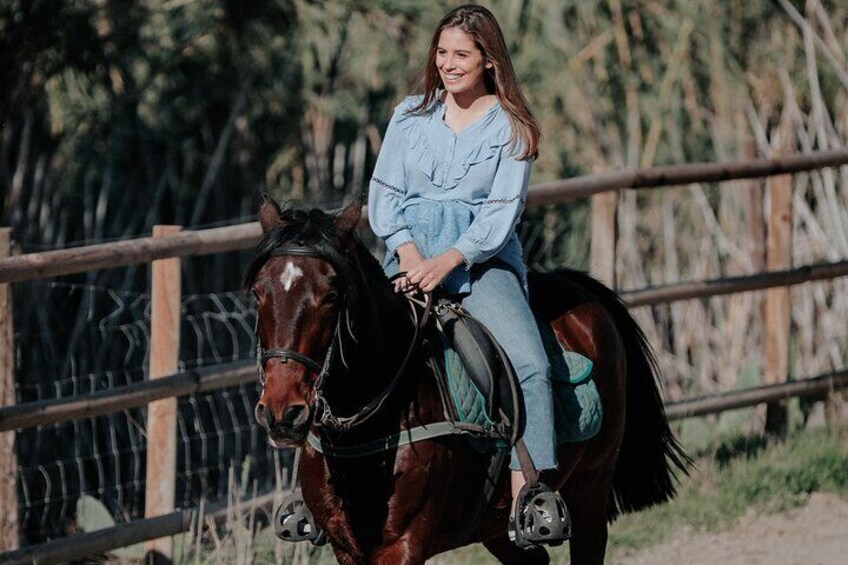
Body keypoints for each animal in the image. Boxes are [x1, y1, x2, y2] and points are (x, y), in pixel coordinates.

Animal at [245, 196, 688, 560]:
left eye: (332, 294)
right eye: (257, 293)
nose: (283, 413)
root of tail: (583, 292)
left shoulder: (403, 546)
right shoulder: (347, 547)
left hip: (590, 491)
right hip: (496, 526)